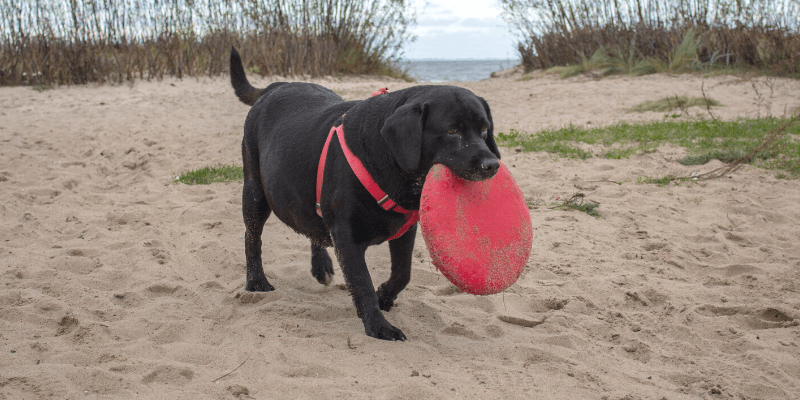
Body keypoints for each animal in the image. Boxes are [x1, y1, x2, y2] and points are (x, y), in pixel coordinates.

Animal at [228, 47, 500, 340]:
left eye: (485, 129)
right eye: (452, 131)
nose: (492, 164)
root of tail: (275, 86)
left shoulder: (405, 230)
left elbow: (403, 273)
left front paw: (385, 298)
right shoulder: (347, 237)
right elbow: (362, 282)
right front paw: (378, 325)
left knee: (313, 225)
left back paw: (320, 265)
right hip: (255, 191)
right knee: (252, 237)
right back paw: (256, 280)